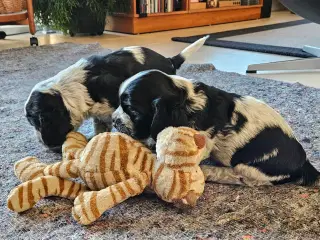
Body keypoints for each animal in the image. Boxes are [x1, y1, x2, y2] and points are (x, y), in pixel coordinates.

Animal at [25, 35, 210, 152]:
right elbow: (100, 125)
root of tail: (169, 60)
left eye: (38, 123)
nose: (43, 144)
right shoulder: (100, 113)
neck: (77, 87)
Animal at [111, 70, 318, 187]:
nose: (113, 120)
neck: (185, 100)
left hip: (251, 168)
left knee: (244, 178)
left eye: (132, 110)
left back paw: (212, 172)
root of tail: (304, 162)